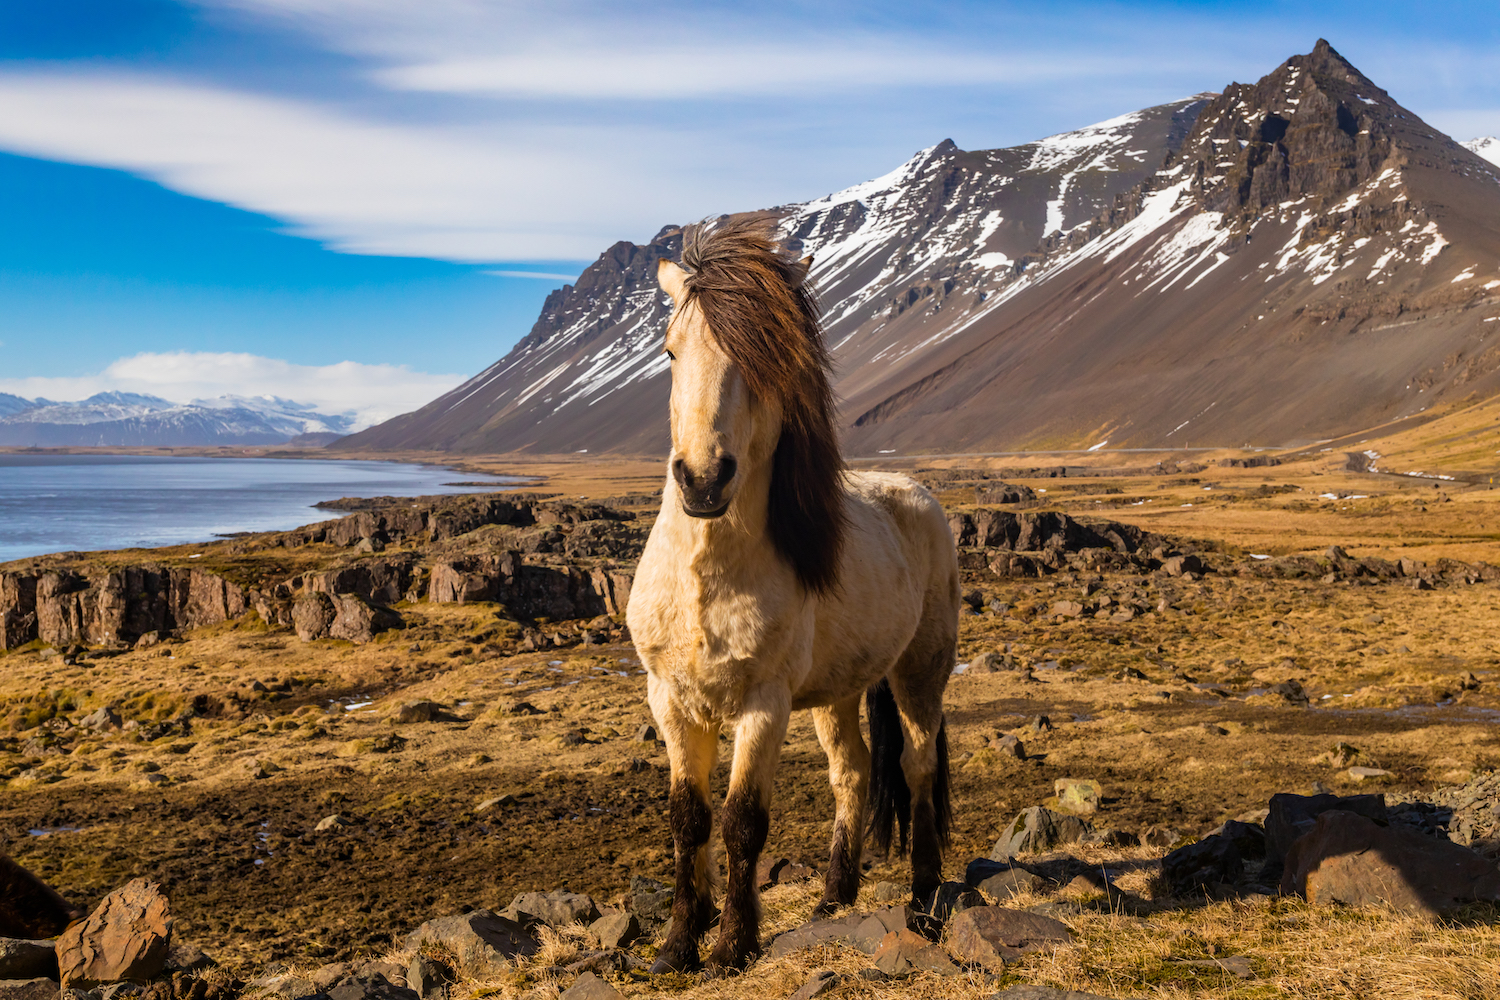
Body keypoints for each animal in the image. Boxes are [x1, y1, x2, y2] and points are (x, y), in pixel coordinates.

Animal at [624, 218, 960, 977]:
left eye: (765, 360)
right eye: (669, 351)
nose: (702, 480)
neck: (705, 572)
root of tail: (916, 493)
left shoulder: (764, 703)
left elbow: (743, 821)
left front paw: (732, 945)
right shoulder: (670, 698)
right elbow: (687, 818)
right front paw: (678, 943)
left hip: (920, 670)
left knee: (917, 765)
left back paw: (925, 897)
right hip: (839, 691)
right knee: (853, 773)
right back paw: (836, 895)